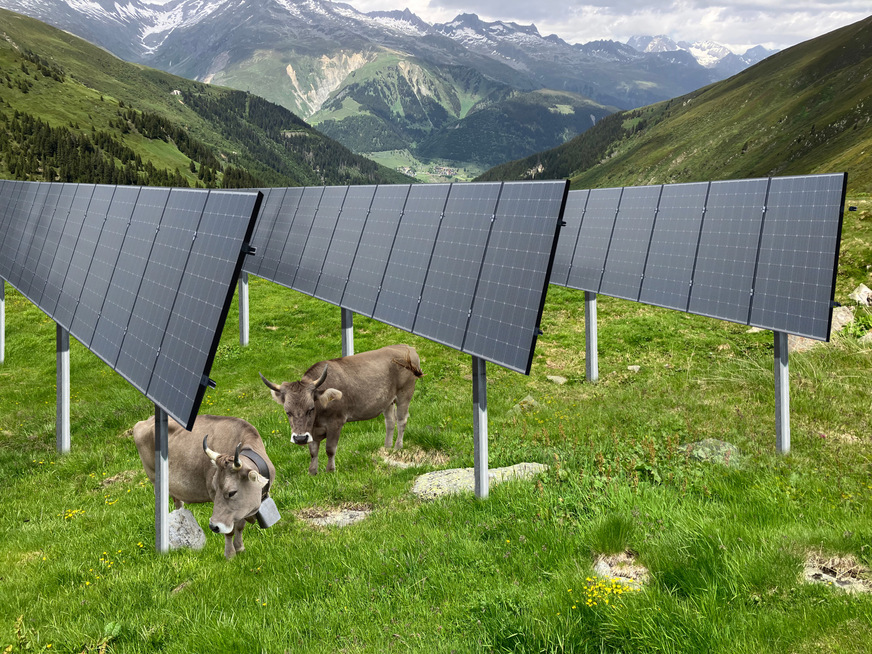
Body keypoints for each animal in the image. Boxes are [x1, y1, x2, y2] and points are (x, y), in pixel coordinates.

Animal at [132, 418, 276, 560]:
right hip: (155, 480)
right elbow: (229, 531)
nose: (213, 526)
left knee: (178, 503)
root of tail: (144, 421)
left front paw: (240, 548)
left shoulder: (240, 509)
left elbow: (239, 526)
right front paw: (230, 555)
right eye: (214, 488)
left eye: (232, 492)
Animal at [258, 344, 422, 476]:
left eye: (311, 408)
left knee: (401, 420)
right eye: (288, 411)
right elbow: (313, 451)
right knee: (390, 422)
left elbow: (330, 449)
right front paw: (312, 472)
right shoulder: (312, 430)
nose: (299, 439)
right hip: (387, 401)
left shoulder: (335, 423)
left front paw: (330, 471)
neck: (318, 417)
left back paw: (397, 447)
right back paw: (387, 448)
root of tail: (407, 347)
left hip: (405, 394)